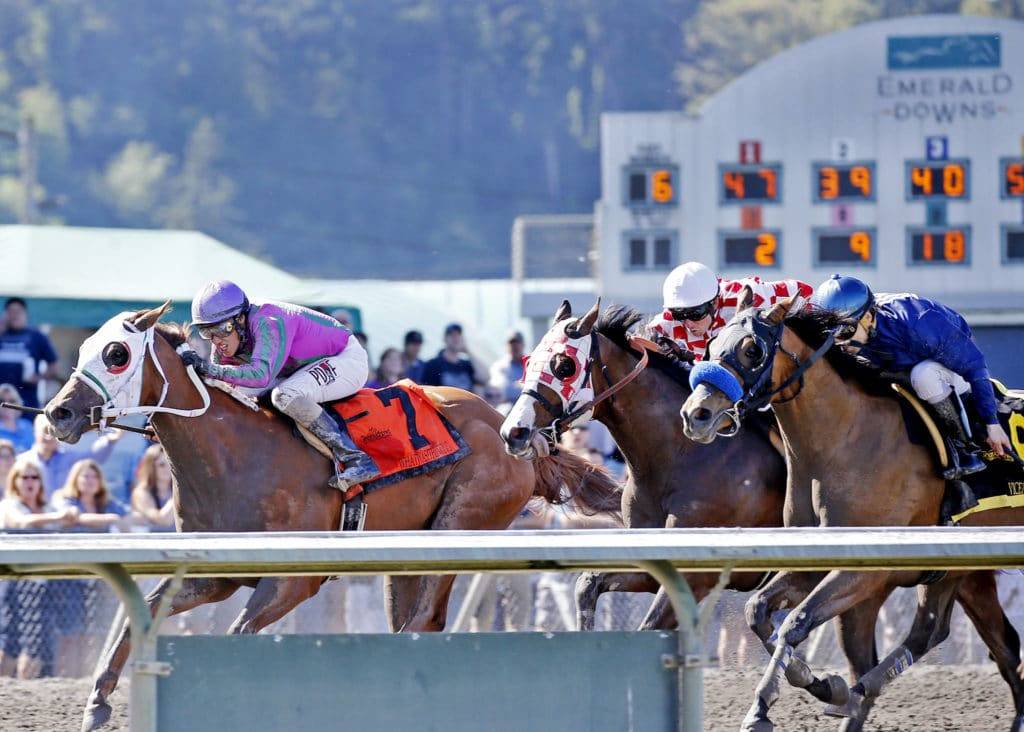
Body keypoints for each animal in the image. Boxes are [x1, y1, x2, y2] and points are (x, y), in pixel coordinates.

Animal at [44, 300, 614, 728]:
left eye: (116, 354)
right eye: (84, 348)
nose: (57, 413)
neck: (235, 456)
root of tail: (517, 433)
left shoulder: (294, 580)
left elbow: (239, 634)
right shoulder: (215, 573)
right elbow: (140, 611)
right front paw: (97, 702)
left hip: (461, 524)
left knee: (424, 617)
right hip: (407, 551)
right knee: (417, 621)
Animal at [499, 300, 786, 634]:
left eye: (564, 367)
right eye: (529, 362)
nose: (514, 432)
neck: (682, 458)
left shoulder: (698, 575)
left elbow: (649, 626)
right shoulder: (653, 566)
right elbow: (587, 584)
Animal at [675, 288, 1019, 732]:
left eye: (752, 349)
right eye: (712, 344)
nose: (695, 415)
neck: (843, 442)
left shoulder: (866, 569)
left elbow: (796, 622)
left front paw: (768, 706)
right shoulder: (814, 559)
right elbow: (759, 612)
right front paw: (821, 685)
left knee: (932, 635)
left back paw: (860, 689)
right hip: (961, 572)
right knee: (967, 640)